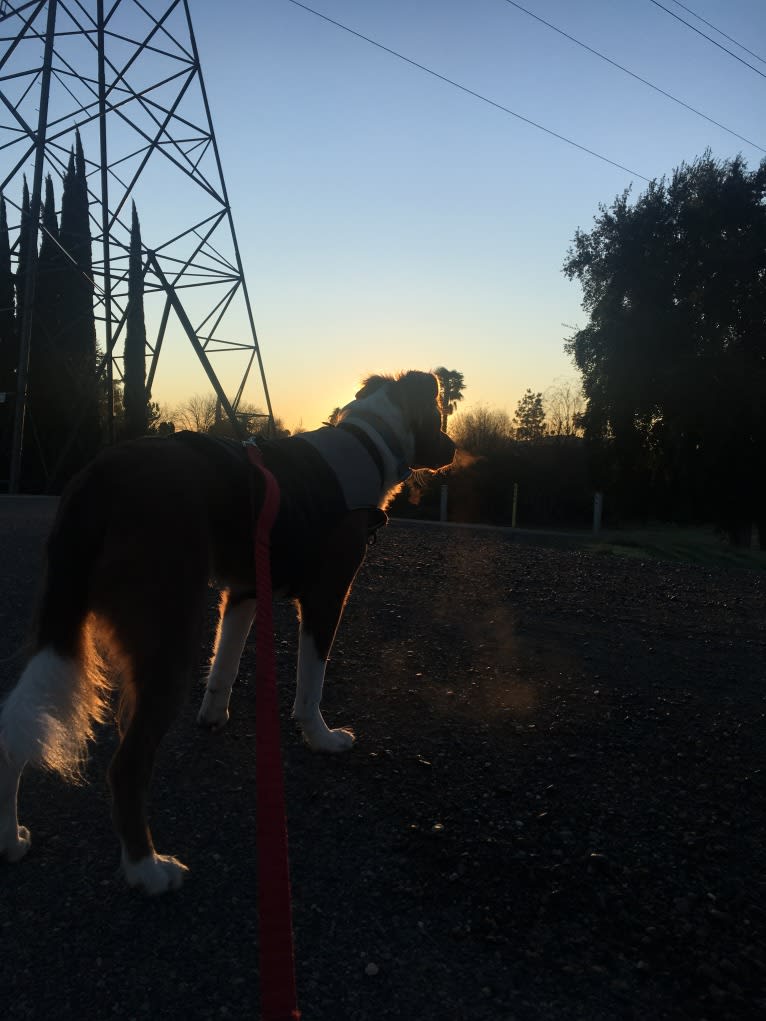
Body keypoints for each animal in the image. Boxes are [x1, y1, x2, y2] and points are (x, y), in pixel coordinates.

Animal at [0, 371, 455, 890]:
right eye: (440, 413)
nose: (455, 449)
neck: (369, 442)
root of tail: (99, 479)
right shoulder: (325, 598)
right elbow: (310, 684)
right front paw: (321, 738)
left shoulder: (244, 591)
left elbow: (225, 664)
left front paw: (214, 716)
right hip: (169, 631)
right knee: (126, 767)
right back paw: (146, 869)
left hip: (64, 616)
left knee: (17, 727)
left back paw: (10, 838)